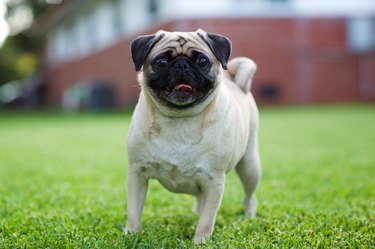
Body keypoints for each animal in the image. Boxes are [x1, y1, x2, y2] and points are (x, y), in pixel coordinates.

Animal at [126, 29, 262, 243]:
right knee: (201, 200)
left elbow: (207, 220)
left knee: (249, 197)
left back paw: (249, 217)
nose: (182, 65)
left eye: (202, 61)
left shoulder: (214, 180)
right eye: (161, 62)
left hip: (249, 166)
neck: (179, 120)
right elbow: (133, 211)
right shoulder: (137, 173)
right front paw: (131, 235)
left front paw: (201, 241)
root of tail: (233, 78)